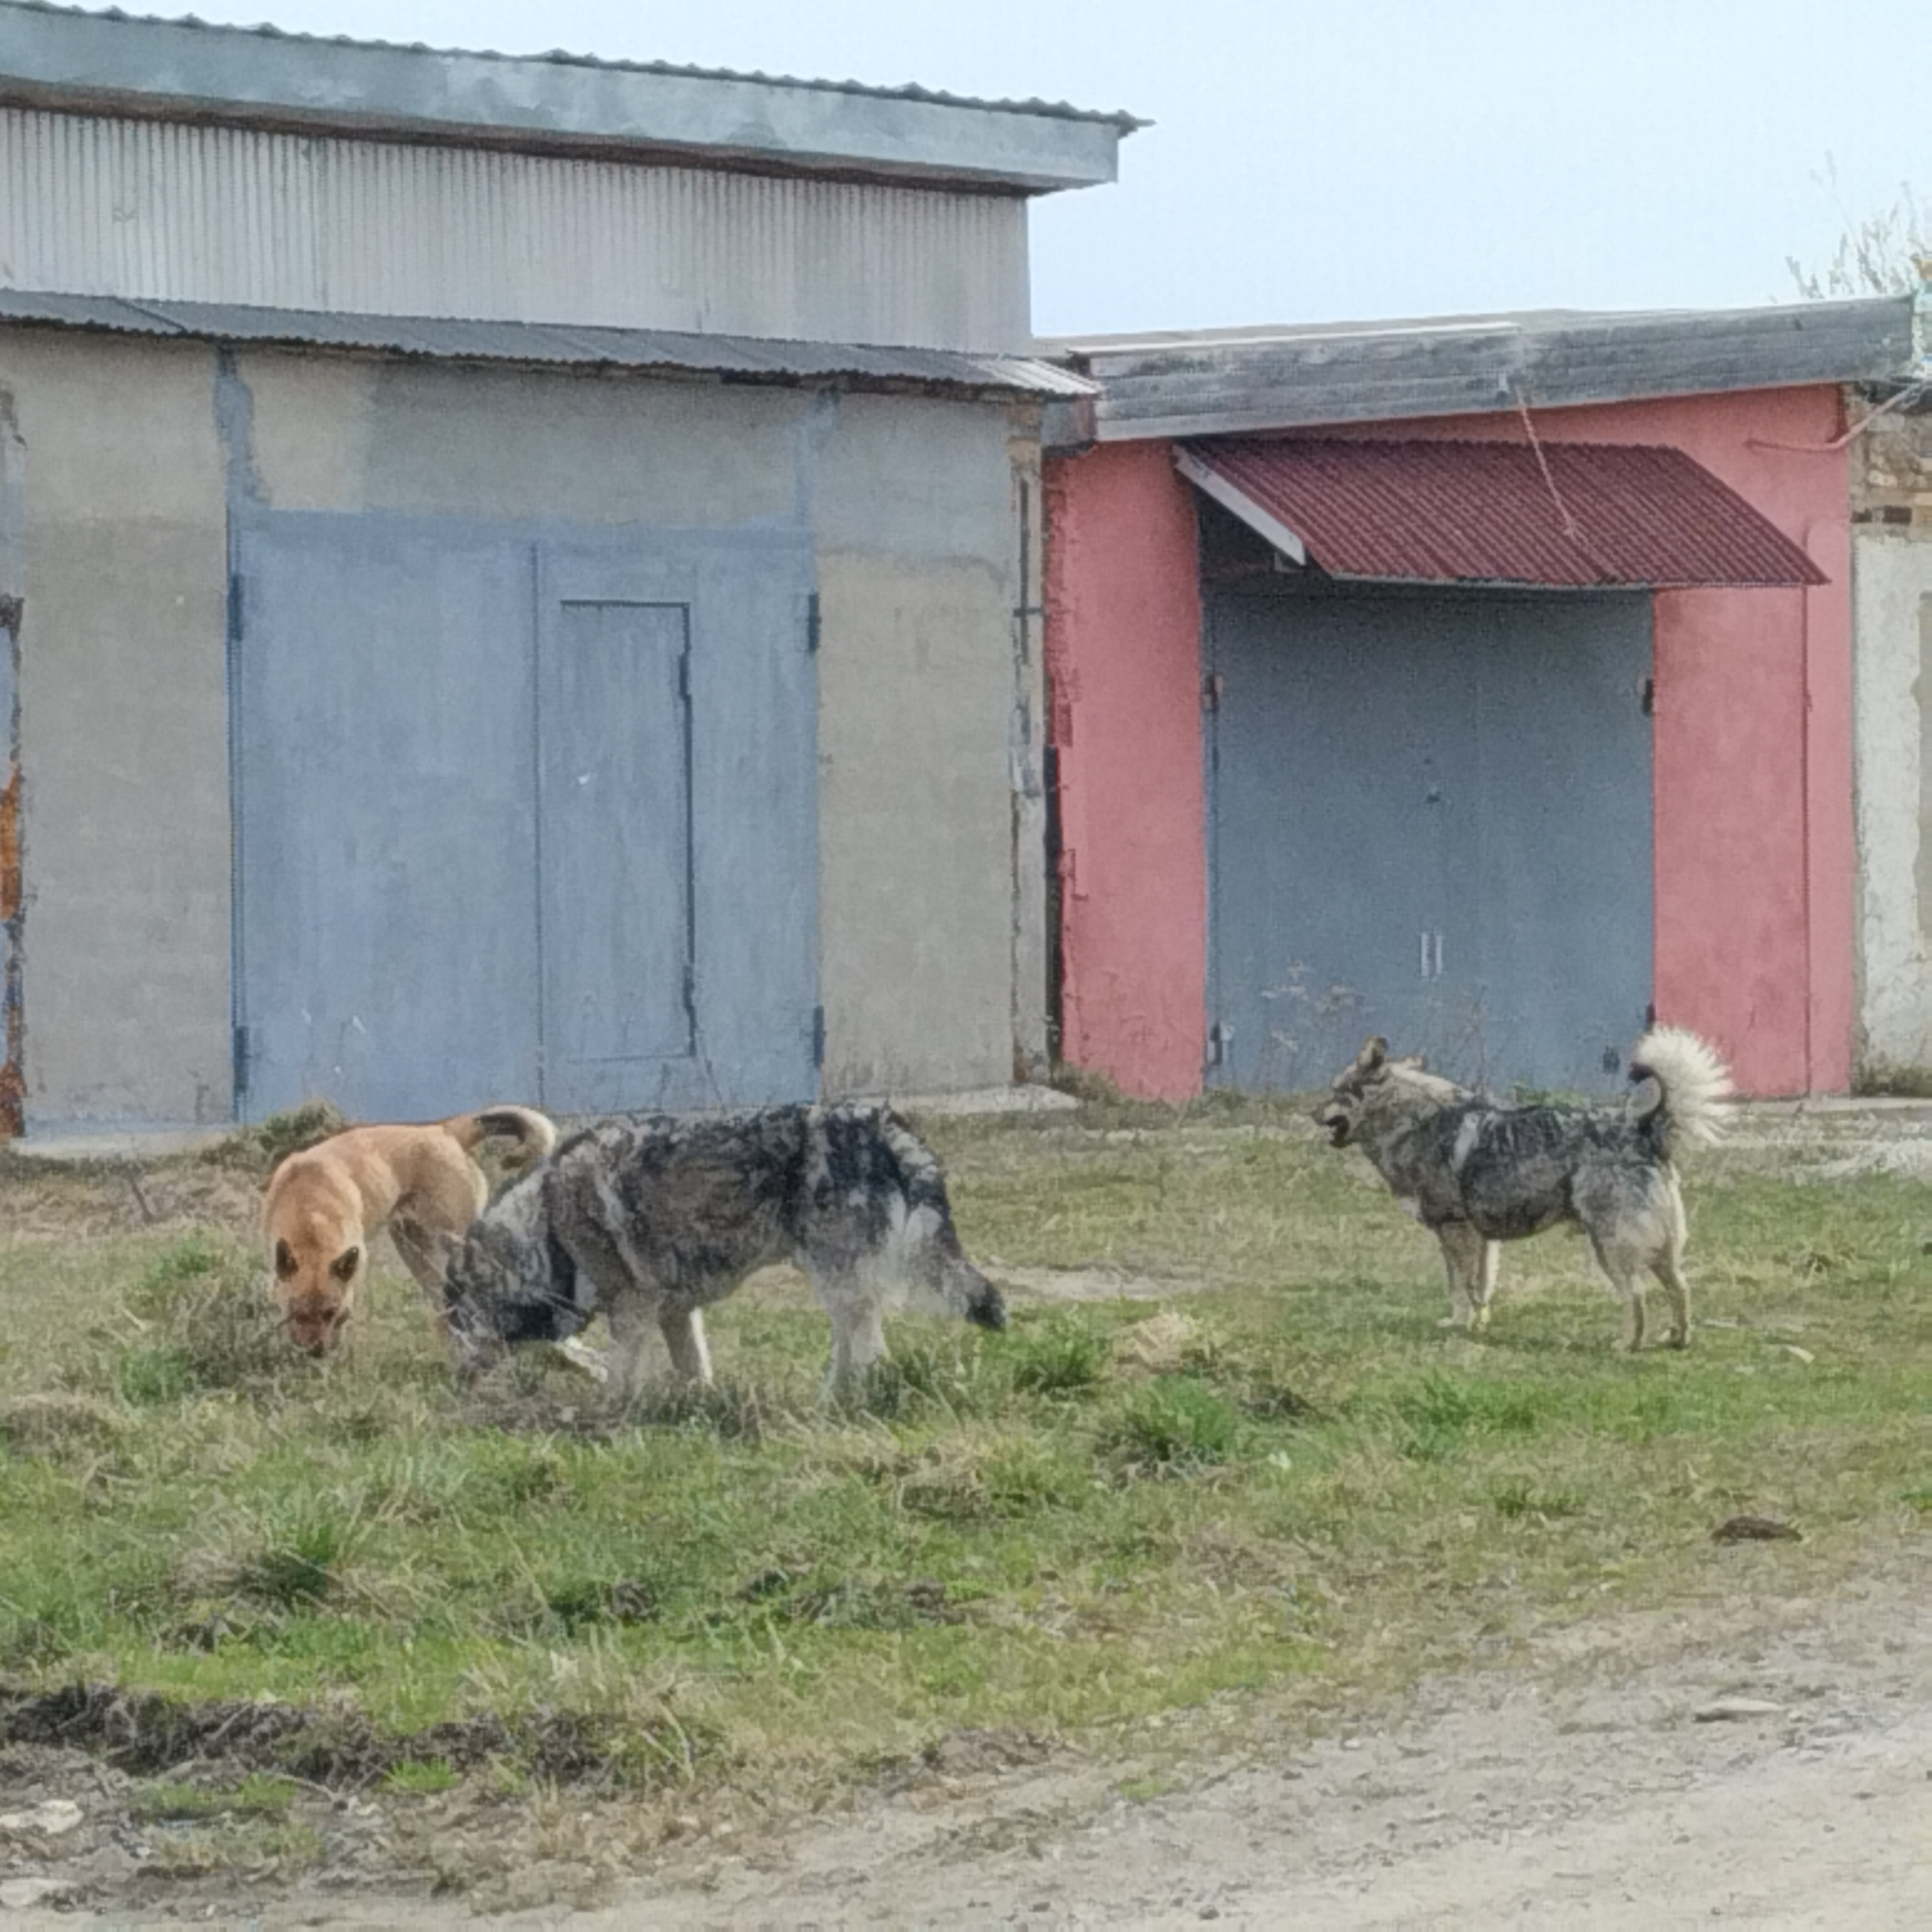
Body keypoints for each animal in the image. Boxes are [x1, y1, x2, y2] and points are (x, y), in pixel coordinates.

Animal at [260, 1113, 556, 1352]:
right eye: (297, 1313)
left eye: (330, 1312)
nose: (315, 1353)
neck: (311, 1207)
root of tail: (444, 1130)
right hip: (416, 1253)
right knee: (445, 1307)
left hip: (454, 1242)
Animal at [440, 1105, 1012, 1406]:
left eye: (459, 1322)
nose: (457, 1379)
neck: (551, 1227)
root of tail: (876, 1119)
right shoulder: (675, 1312)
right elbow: (695, 1369)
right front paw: (697, 1408)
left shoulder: (632, 1312)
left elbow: (619, 1380)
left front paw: (603, 1419)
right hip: (838, 1289)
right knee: (854, 1351)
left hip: (839, 1288)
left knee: (869, 1355)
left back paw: (840, 1406)